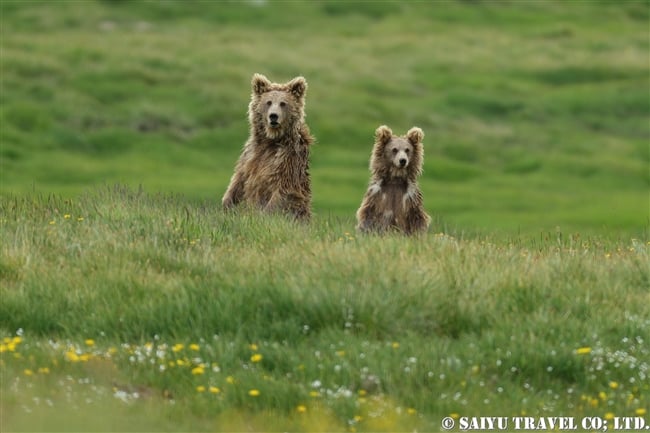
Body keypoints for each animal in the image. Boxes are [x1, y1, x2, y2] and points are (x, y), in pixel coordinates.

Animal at [221, 73, 312, 219]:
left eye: (283, 103)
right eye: (268, 102)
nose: (273, 116)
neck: (271, 140)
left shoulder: (287, 159)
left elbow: (283, 189)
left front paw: (265, 215)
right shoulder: (250, 154)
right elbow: (239, 178)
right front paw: (227, 203)